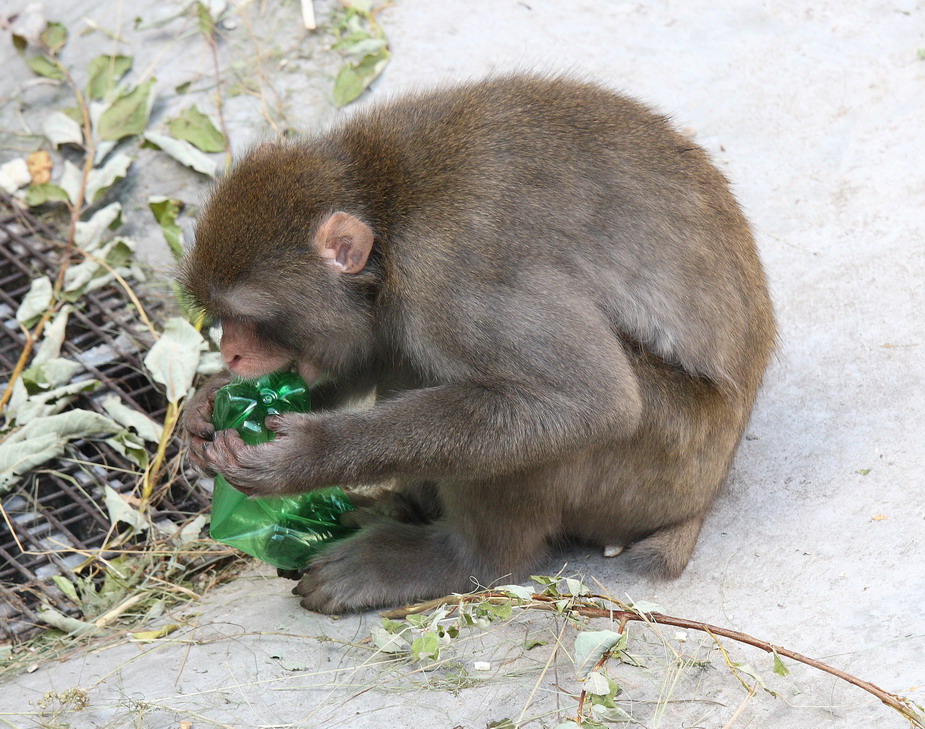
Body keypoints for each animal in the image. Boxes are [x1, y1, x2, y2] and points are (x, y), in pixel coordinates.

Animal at [179, 74, 772, 612]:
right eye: (220, 318)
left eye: (249, 319)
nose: (230, 352)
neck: (388, 205)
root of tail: (702, 498)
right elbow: (374, 348)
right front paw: (208, 406)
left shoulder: (455, 275)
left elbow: (588, 401)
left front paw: (305, 455)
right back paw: (400, 509)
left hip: (658, 467)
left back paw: (451, 561)